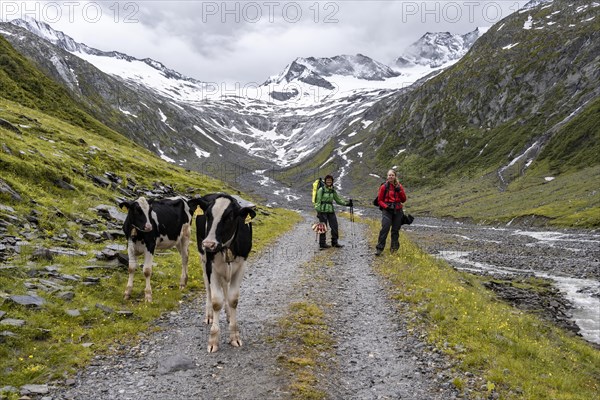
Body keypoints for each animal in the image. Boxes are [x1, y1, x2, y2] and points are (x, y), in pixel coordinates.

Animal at [195, 194, 255, 354]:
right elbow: (216, 301)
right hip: (203, 258)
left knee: (225, 287)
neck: (227, 246)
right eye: (207, 215)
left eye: (229, 217)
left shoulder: (241, 265)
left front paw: (234, 336)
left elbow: (233, 299)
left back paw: (228, 314)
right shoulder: (211, 266)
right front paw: (213, 340)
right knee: (208, 288)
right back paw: (209, 315)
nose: (209, 244)